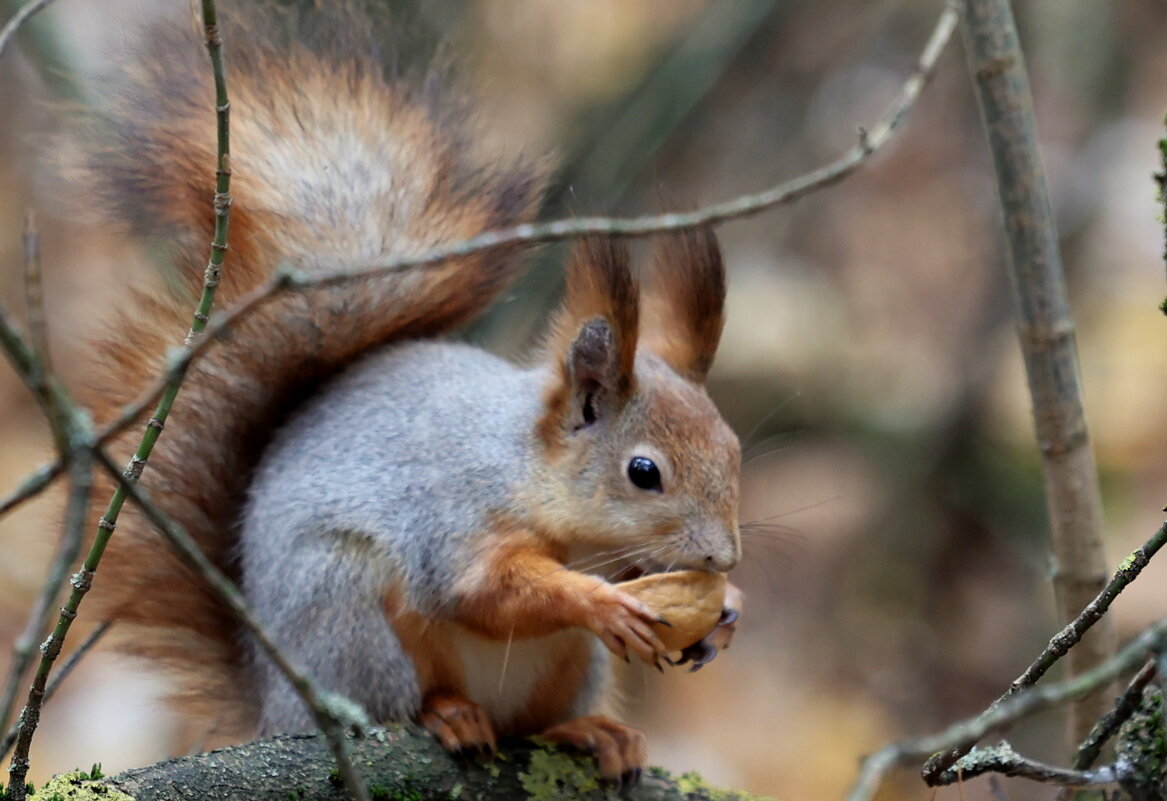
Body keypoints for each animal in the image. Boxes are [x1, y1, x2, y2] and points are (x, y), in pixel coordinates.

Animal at [77, 1, 742, 784]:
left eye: (733, 449)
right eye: (643, 472)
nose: (723, 558)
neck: (531, 474)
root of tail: (274, 704)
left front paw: (725, 612)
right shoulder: (456, 517)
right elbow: (483, 591)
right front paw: (598, 601)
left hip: (566, 668)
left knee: (535, 725)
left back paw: (592, 731)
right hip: (347, 615)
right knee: (396, 697)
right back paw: (447, 714)